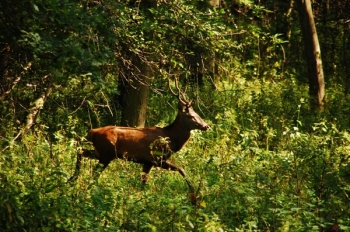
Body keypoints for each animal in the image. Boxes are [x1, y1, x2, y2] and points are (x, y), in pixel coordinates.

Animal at [68, 79, 211, 193]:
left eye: (197, 113)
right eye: (191, 116)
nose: (206, 126)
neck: (171, 139)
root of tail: (91, 132)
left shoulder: (147, 162)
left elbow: (143, 181)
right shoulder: (156, 158)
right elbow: (181, 169)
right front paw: (194, 194)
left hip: (100, 152)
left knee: (81, 151)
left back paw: (72, 179)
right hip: (107, 153)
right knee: (93, 172)